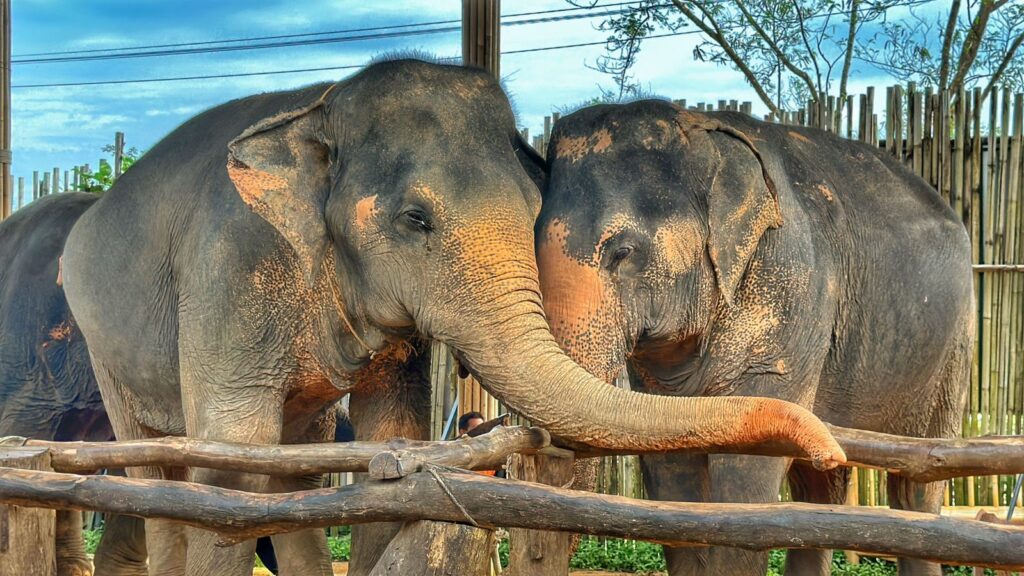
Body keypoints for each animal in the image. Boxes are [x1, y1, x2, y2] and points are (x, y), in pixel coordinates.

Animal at [58, 59, 839, 573]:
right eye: (414, 218)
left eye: (533, 211)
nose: (829, 450)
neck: (320, 107)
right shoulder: (231, 269)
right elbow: (231, 456)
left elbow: (387, 441)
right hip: (102, 343)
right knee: (162, 470)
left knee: (296, 468)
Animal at [536, 100, 974, 573]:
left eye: (623, 252)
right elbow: (671, 468)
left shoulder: (792, 285)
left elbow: (745, 471)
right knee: (820, 485)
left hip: (953, 349)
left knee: (917, 482)